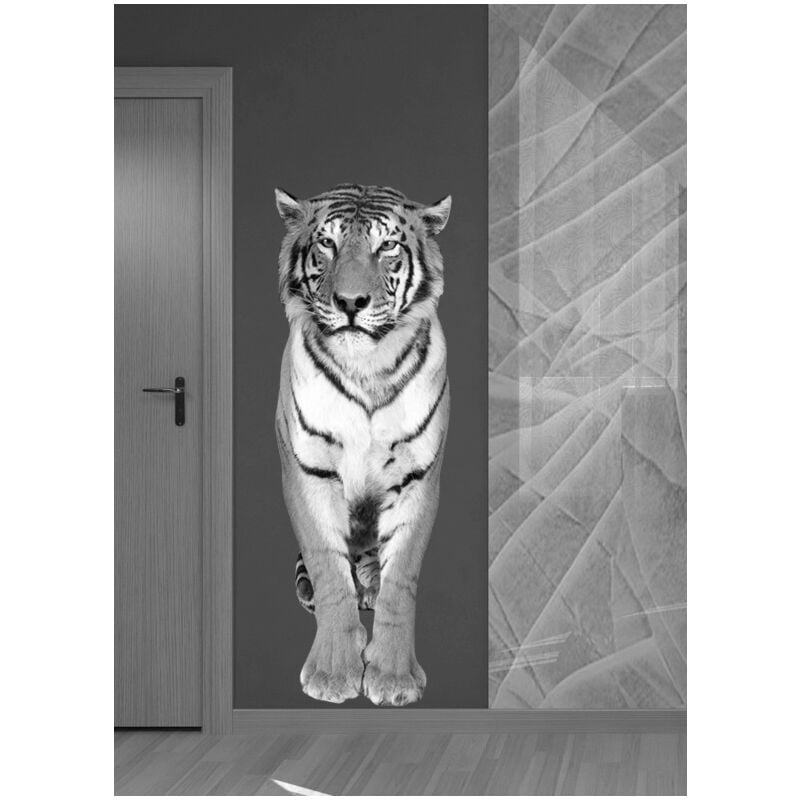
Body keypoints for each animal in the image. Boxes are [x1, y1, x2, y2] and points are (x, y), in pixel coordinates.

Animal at [274, 183, 451, 706]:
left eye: (386, 246)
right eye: (327, 244)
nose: (351, 301)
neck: (366, 368)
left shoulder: (417, 477)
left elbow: (402, 582)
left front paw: (393, 678)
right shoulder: (308, 471)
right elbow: (330, 571)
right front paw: (333, 674)